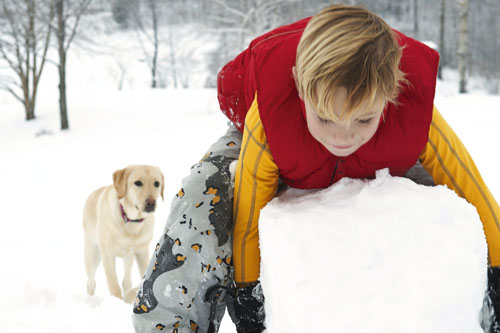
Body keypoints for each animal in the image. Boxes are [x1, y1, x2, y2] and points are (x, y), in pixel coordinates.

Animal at [83, 165, 163, 302]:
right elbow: (113, 284)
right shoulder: (107, 254)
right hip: (93, 255)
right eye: (138, 183)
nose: (151, 203)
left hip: (128, 258)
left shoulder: (142, 251)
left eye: (157, 183)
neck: (131, 220)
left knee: (126, 281)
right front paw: (117, 300)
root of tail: (91, 194)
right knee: (91, 282)